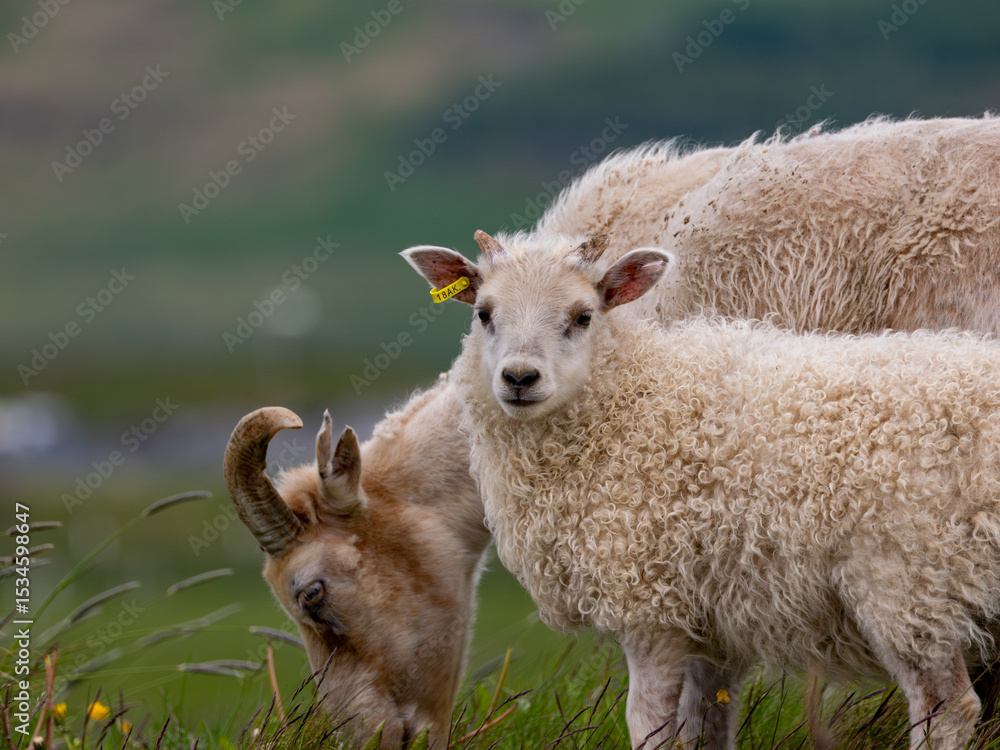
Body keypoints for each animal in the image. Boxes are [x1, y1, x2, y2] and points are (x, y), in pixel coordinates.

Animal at [402, 233, 1000, 750]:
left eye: (583, 316)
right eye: (484, 313)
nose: (520, 379)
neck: (626, 403)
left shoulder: (648, 601)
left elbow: (647, 723)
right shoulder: (709, 619)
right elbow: (706, 723)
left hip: (910, 577)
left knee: (947, 708)